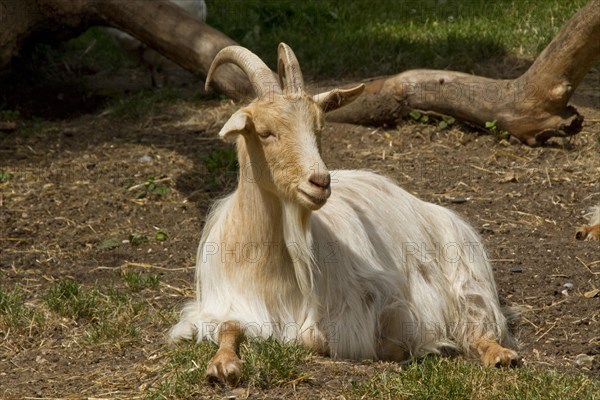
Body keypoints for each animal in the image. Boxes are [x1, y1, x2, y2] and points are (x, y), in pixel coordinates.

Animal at [170, 43, 520, 384]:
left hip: (465, 274)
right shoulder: (218, 305)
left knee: (475, 324)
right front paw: (222, 366)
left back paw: (500, 355)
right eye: (266, 132)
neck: (266, 266)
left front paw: (399, 346)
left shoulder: (361, 301)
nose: (320, 182)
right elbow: (227, 327)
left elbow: (314, 337)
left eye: (319, 129)